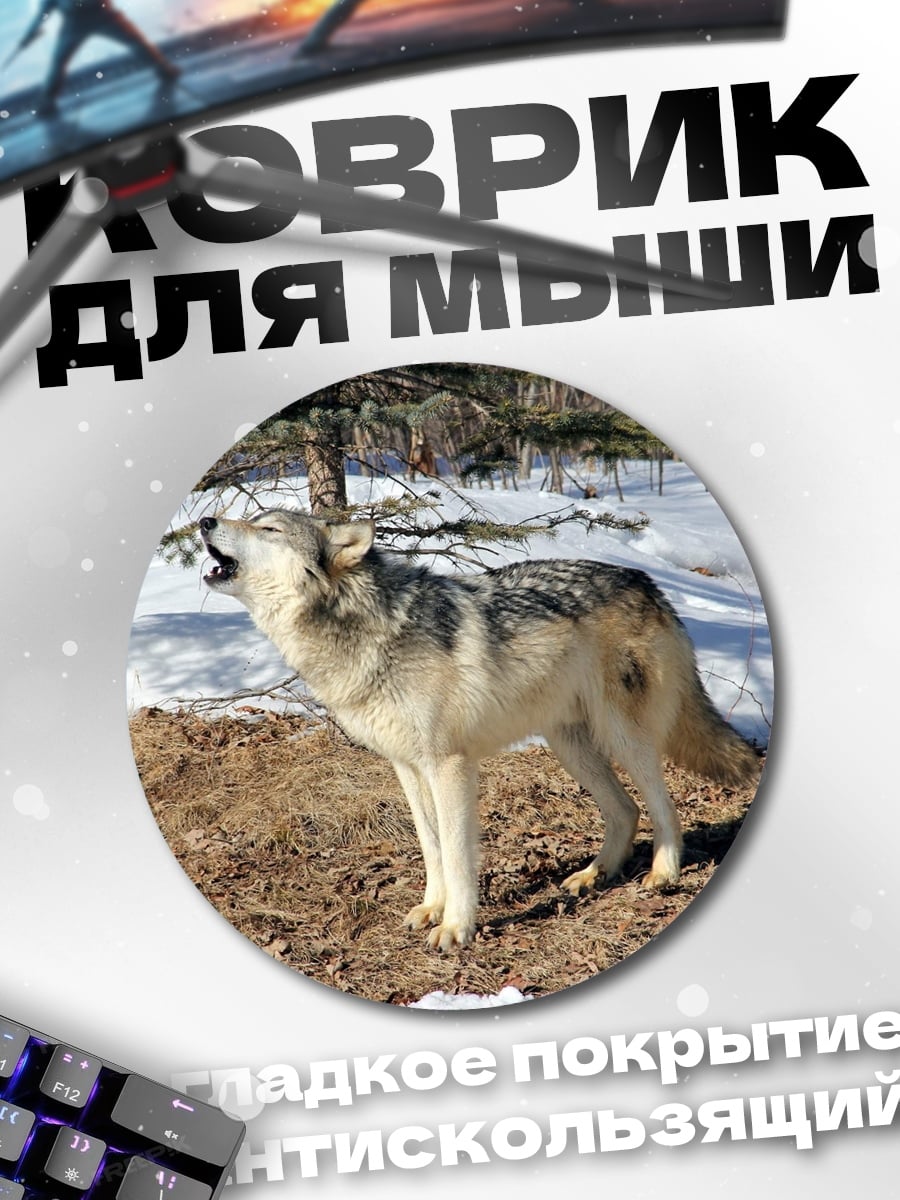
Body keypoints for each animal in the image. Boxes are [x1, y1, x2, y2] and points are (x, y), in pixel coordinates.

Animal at [199, 508, 759, 952]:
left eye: (268, 528)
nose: (204, 520)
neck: (365, 629)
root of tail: (647, 581)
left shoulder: (449, 765)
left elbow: (457, 853)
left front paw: (456, 928)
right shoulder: (407, 767)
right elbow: (431, 847)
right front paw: (433, 908)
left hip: (623, 736)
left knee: (663, 806)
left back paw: (663, 873)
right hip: (570, 746)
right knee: (625, 810)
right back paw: (592, 876)